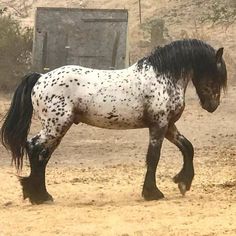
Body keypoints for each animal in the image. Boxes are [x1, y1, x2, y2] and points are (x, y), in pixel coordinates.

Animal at [0, 39, 228, 205]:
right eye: (216, 74)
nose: (212, 105)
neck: (162, 77)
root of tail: (41, 77)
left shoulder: (169, 126)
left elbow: (188, 147)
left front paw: (183, 183)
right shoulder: (159, 125)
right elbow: (153, 157)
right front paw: (153, 193)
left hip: (58, 128)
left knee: (42, 155)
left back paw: (42, 195)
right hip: (55, 126)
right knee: (34, 148)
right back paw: (37, 196)